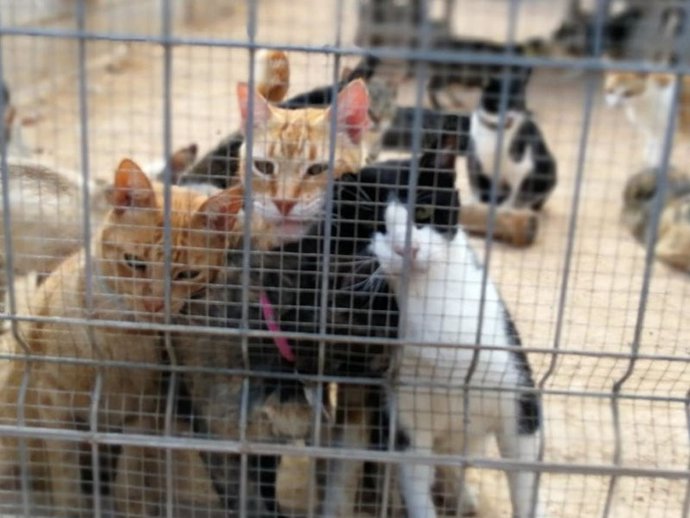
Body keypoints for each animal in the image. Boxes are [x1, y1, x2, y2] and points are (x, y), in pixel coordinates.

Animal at [0, 160, 242, 516]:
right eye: (134, 262)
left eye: (186, 274)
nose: (154, 304)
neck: (121, 337)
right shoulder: (53, 404)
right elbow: (67, 483)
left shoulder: (141, 416)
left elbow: (130, 487)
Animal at [370, 164, 544, 518]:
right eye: (376, 224)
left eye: (423, 211)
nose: (406, 250)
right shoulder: (405, 421)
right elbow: (417, 488)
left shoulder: (519, 403)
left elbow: (524, 479)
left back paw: (463, 497)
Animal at [464, 73, 556, 211]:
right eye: (498, 103)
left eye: (517, 102)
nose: (510, 116)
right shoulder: (475, 160)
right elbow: (477, 186)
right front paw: (474, 203)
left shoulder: (524, 167)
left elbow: (518, 194)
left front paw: (506, 208)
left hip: (548, 167)